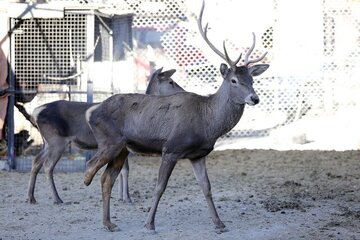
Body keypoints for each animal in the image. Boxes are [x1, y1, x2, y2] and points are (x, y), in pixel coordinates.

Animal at [26, 67, 183, 204]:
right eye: (171, 81)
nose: (183, 91)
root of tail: (35, 112)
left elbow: (122, 170)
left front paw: (121, 196)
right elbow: (125, 170)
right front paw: (127, 197)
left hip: (47, 142)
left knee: (36, 161)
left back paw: (31, 197)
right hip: (56, 140)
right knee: (48, 165)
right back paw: (57, 198)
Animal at [81, 0, 268, 232]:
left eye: (252, 79)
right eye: (234, 80)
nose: (254, 98)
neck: (208, 123)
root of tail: (91, 113)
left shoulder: (198, 154)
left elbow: (206, 187)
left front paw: (219, 223)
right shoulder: (171, 148)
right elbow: (160, 187)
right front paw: (149, 224)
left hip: (122, 149)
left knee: (107, 178)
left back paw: (109, 223)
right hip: (110, 141)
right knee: (90, 168)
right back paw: (94, 198)